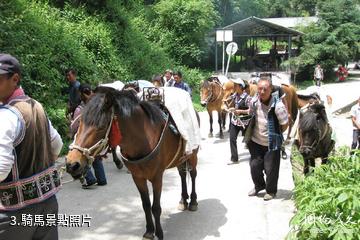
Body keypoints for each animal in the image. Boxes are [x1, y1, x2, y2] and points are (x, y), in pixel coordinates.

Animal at [65, 87, 200, 239]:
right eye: (80, 123)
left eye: (101, 127)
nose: (72, 164)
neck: (143, 139)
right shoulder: (137, 177)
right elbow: (146, 205)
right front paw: (149, 231)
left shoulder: (157, 177)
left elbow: (156, 207)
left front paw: (159, 233)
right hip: (180, 158)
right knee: (182, 174)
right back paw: (183, 200)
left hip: (193, 154)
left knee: (193, 174)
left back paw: (193, 201)